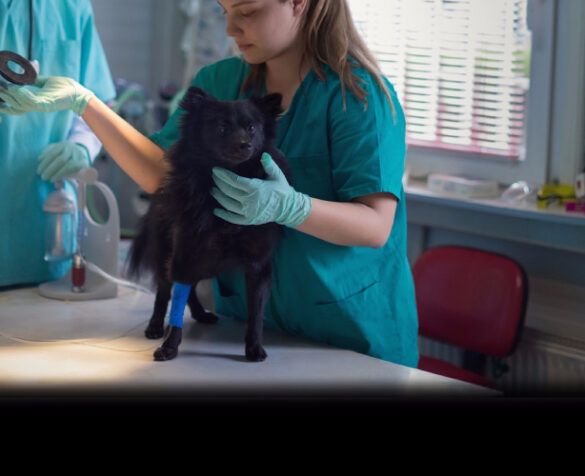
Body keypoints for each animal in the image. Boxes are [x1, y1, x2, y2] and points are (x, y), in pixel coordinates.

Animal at [129, 86, 290, 360]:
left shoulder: (258, 265)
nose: (244, 144)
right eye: (222, 127)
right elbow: (175, 303)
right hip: (169, 253)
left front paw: (254, 347)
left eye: (252, 127)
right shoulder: (185, 251)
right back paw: (155, 326)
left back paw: (201, 313)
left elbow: (256, 312)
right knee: (164, 290)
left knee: (190, 289)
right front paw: (170, 345)